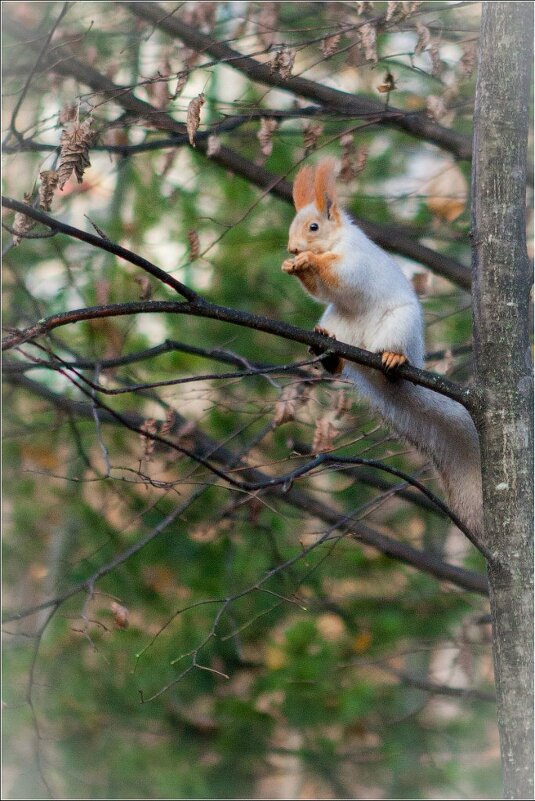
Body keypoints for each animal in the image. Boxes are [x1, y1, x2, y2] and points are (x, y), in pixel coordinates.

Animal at [282, 159, 484, 536]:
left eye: (313, 227)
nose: (292, 250)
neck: (336, 240)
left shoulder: (355, 260)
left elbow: (342, 275)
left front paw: (307, 262)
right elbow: (320, 290)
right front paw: (295, 266)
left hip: (397, 327)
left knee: (392, 353)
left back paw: (392, 358)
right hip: (339, 321)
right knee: (337, 348)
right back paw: (329, 353)